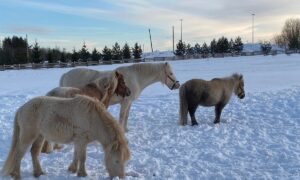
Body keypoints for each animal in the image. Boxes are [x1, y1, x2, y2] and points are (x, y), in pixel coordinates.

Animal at [1, 95, 130, 179]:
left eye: (125, 160)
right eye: (116, 161)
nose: (120, 177)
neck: (93, 118)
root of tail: (21, 109)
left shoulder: (79, 141)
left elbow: (76, 155)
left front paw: (73, 169)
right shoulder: (81, 140)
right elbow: (82, 157)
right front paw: (82, 174)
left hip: (40, 136)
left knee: (34, 152)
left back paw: (38, 173)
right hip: (28, 135)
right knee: (18, 154)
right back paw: (17, 175)